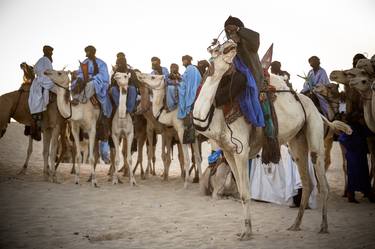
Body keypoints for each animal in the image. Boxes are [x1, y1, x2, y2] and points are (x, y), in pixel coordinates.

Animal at [192, 40, 354, 240]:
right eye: (217, 48)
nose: (230, 42)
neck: (216, 115)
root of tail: (317, 110)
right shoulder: (229, 153)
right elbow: (242, 192)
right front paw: (245, 230)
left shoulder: (242, 151)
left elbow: (246, 193)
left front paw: (247, 233)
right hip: (297, 143)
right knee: (307, 182)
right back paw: (295, 224)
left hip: (315, 133)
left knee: (323, 183)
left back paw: (323, 226)